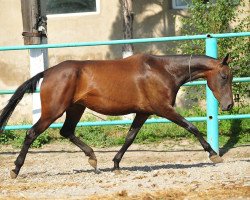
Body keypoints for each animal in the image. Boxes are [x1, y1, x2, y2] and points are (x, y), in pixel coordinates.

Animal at [0, 53, 234, 178]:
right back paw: (15, 169)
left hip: (75, 108)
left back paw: (93, 159)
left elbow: (130, 137)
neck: (163, 70)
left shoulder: (143, 112)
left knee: (67, 131)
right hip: (53, 111)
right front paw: (213, 154)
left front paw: (116, 165)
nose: (229, 105)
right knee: (32, 133)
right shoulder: (163, 108)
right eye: (224, 76)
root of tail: (48, 72)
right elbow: (191, 127)